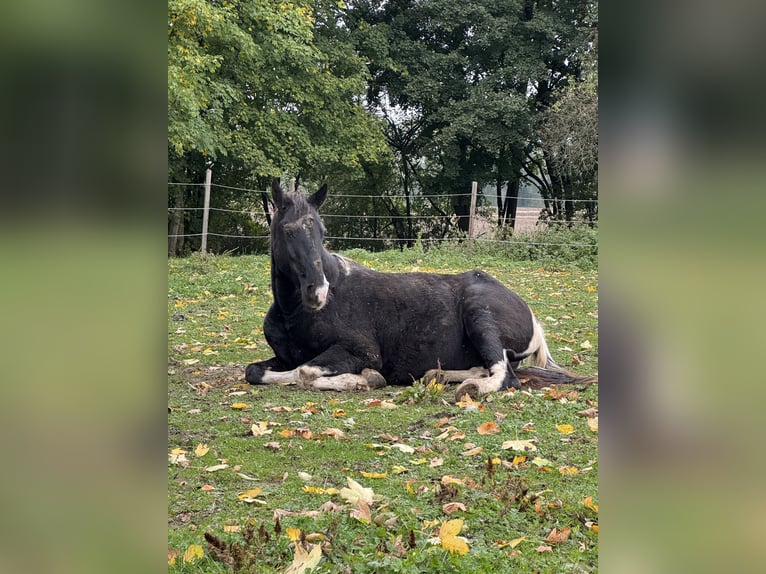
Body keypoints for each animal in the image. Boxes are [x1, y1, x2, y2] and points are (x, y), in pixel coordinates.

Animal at [245, 180, 597, 401]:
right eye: (288, 230)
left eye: (321, 229)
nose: (317, 292)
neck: (293, 314)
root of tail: (532, 317)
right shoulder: (283, 357)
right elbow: (256, 371)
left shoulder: (361, 351)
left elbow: (305, 372)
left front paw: (365, 379)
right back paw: (437, 377)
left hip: (479, 314)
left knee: (504, 375)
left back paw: (469, 388)